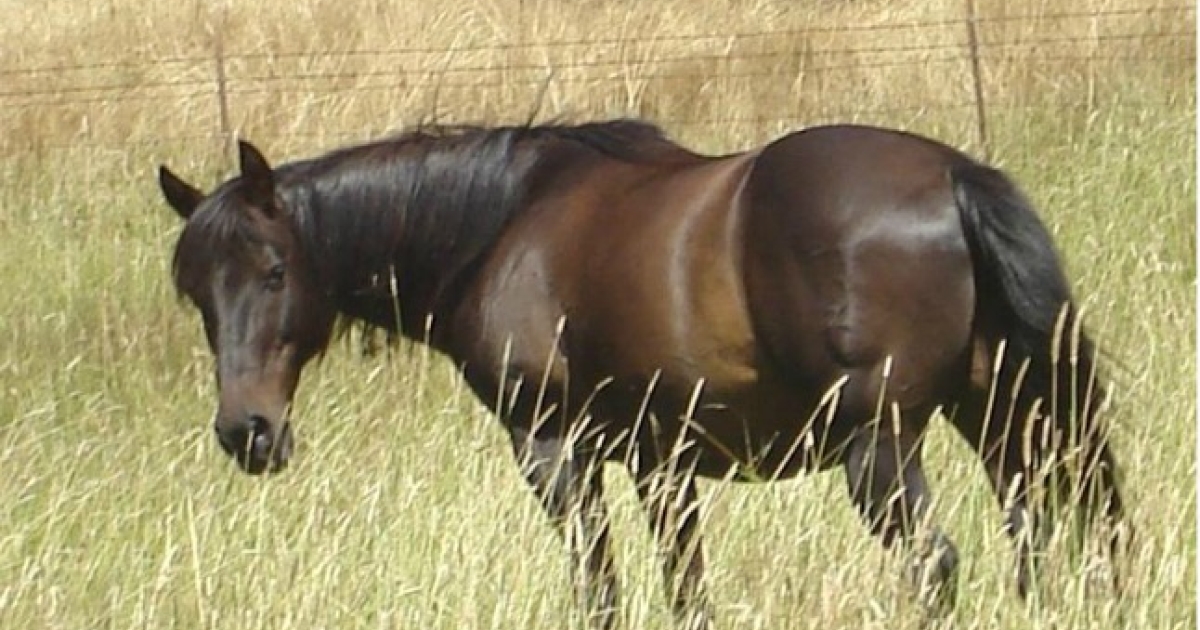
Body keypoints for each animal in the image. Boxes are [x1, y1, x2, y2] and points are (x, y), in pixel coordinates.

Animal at [157, 119, 1125, 628]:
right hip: (1003, 416)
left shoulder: (553, 449)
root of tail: (953, 174)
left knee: (936, 563)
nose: (246, 432)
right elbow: (684, 583)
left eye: (273, 272)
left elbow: (600, 586)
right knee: (1039, 537)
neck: (502, 228)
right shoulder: (662, 457)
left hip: (880, 448)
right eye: (194, 292)